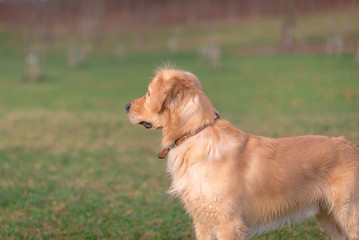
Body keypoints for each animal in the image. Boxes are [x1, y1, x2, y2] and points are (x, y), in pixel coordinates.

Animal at [126, 68, 359, 240]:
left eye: (149, 93)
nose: (126, 105)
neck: (194, 134)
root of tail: (349, 144)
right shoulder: (202, 221)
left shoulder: (228, 223)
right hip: (328, 217)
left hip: (348, 213)